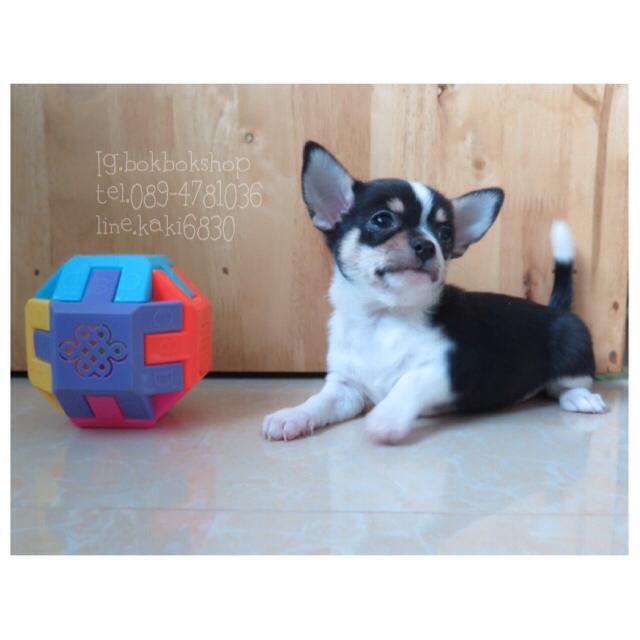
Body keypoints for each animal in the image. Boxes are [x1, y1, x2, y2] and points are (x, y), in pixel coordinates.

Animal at [262, 141, 607, 444]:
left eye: (445, 235)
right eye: (382, 219)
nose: (427, 246)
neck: (384, 316)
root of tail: (556, 309)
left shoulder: (452, 367)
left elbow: (410, 380)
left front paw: (385, 418)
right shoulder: (346, 388)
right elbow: (319, 401)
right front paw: (291, 416)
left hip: (573, 351)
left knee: (568, 385)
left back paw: (582, 399)